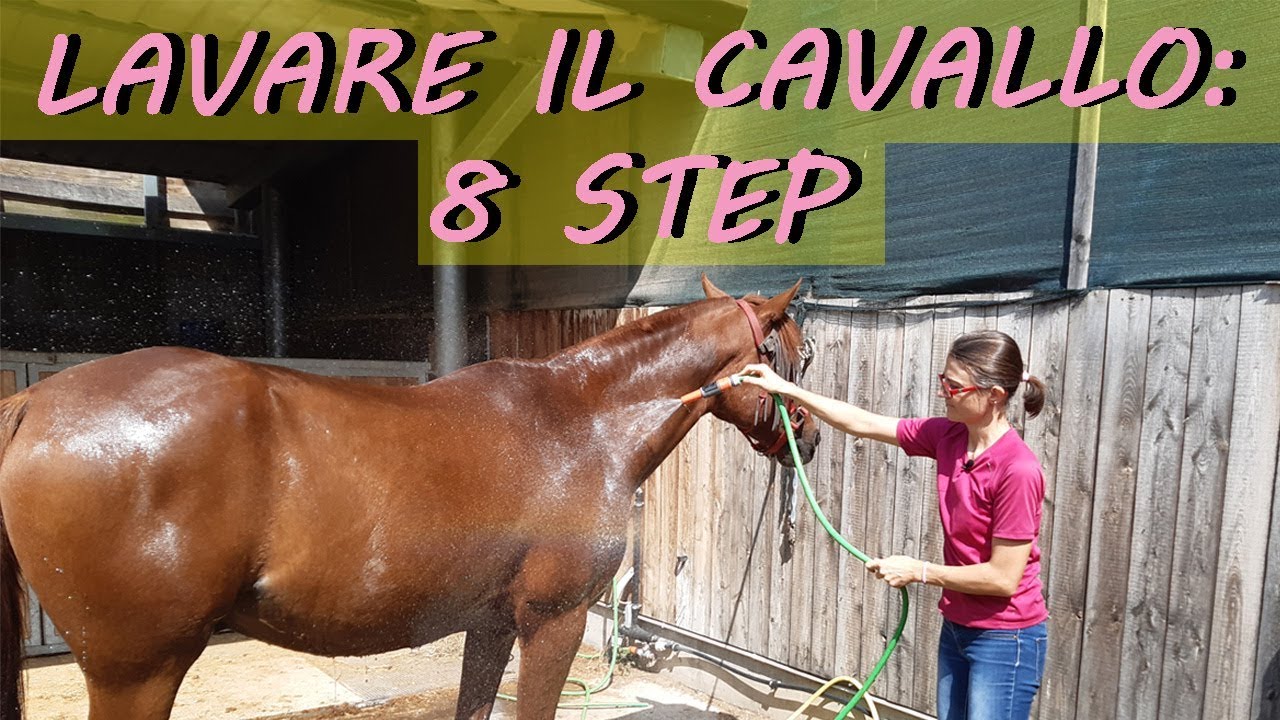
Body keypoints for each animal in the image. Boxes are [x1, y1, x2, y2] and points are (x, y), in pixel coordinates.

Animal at [0, 275, 819, 720]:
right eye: (799, 356)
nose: (808, 440)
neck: (581, 425)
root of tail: (35, 401)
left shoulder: (491, 623)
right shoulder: (552, 622)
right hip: (137, 672)